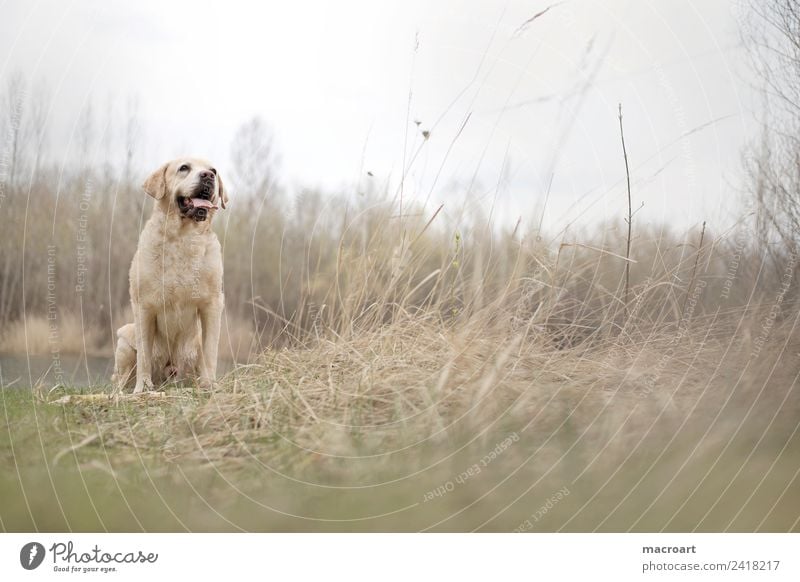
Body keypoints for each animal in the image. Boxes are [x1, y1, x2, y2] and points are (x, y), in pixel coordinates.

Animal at [111, 160, 228, 394]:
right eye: (184, 168)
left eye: (213, 170)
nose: (208, 176)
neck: (184, 236)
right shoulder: (143, 306)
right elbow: (144, 356)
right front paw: (142, 388)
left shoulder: (212, 304)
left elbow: (211, 351)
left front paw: (210, 385)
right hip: (124, 337)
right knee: (121, 378)